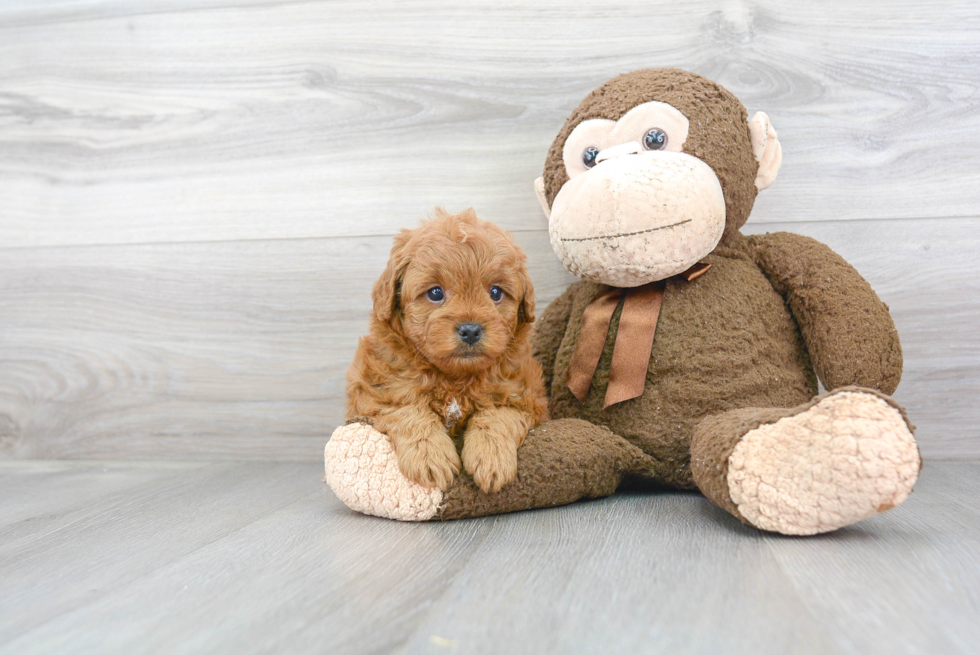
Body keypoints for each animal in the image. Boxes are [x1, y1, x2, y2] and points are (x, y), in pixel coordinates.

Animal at [344, 209, 548, 492]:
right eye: (435, 293)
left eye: (496, 292)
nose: (470, 330)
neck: (455, 378)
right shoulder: (378, 393)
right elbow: (409, 411)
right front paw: (430, 457)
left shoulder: (525, 397)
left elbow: (498, 415)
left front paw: (491, 457)